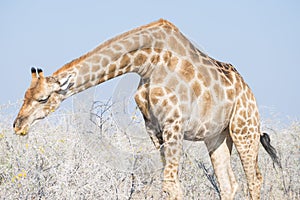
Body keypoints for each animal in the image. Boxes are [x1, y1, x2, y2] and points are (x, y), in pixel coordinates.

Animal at [13, 19, 282, 200]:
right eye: (25, 95)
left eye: (42, 99)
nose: (18, 125)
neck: (147, 64)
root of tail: (248, 91)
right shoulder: (154, 129)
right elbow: (168, 182)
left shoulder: (174, 125)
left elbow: (170, 183)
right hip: (217, 137)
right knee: (228, 183)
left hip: (244, 128)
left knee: (254, 178)